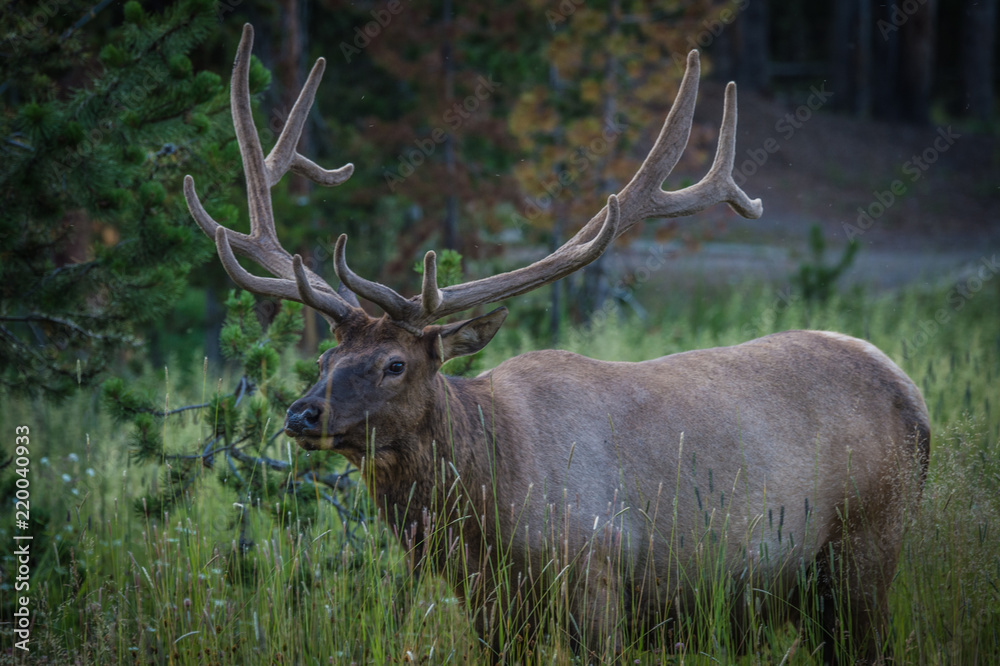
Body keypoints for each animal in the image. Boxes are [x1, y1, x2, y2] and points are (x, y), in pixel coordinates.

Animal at [186, 23, 928, 660]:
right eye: (326, 356)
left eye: (395, 363)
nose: (300, 412)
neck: (486, 512)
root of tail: (912, 393)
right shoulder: (491, 609)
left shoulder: (597, 584)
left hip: (867, 547)